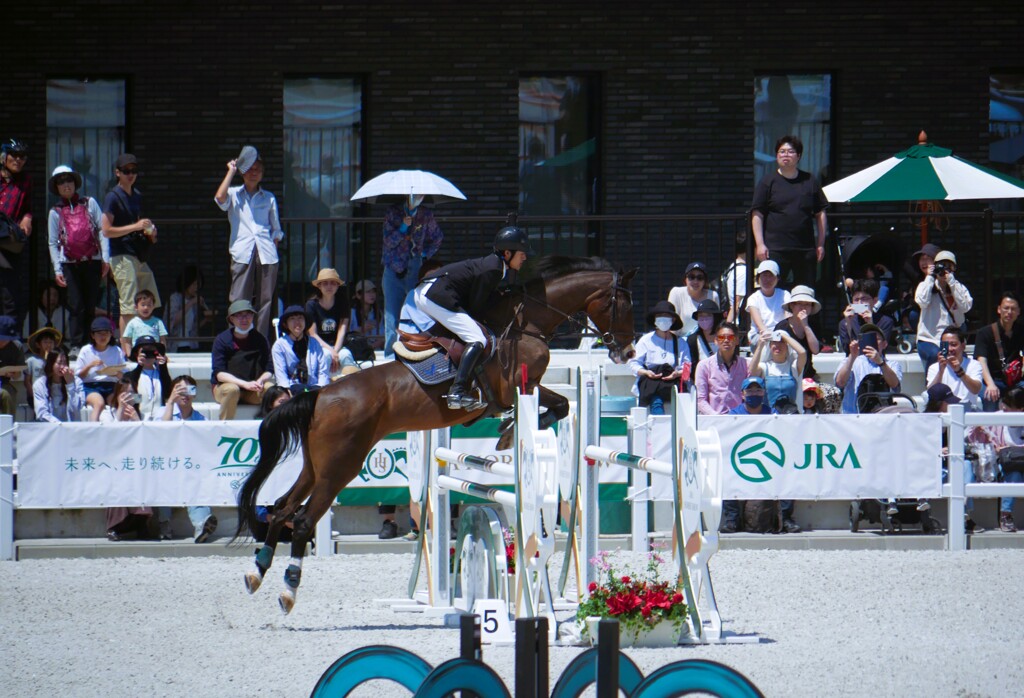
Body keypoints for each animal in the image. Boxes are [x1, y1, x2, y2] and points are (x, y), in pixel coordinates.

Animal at [235, 255, 634, 609]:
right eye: (624, 304)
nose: (626, 352)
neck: (526, 325)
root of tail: (320, 394)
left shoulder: (525, 387)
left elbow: (561, 405)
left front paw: (507, 431)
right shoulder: (519, 386)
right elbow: (557, 405)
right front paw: (508, 431)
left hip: (315, 467)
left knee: (282, 508)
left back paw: (257, 571)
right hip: (339, 469)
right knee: (302, 521)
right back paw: (288, 590)